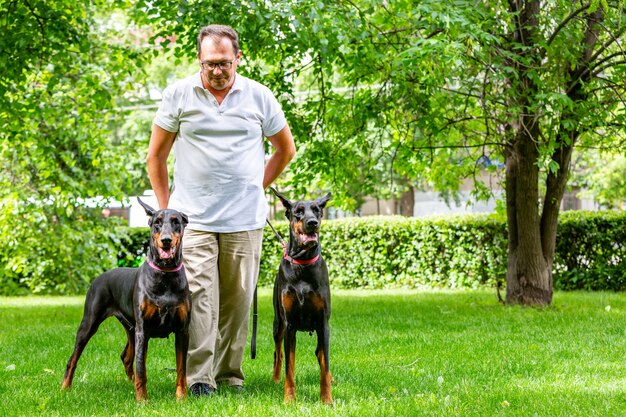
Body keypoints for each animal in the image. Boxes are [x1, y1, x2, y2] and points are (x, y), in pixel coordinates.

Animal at [62, 198, 193, 400]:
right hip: (90, 323)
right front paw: (142, 401)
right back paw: (65, 388)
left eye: (176, 221)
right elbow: (141, 368)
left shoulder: (182, 330)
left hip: (130, 328)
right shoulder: (143, 329)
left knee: (126, 357)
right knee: (73, 359)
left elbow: (181, 369)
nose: (166, 240)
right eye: (157, 223)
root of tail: (99, 277)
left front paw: (181, 398)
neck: (165, 274)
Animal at [270, 188, 334, 404]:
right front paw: (289, 398)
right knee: (279, 353)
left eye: (317, 210)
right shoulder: (290, 324)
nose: (312, 222)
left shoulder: (323, 322)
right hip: (278, 325)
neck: (303, 264)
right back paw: (275, 379)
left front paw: (327, 399)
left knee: (321, 355)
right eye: (298, 212)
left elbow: (325, 364)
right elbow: (289, 365)